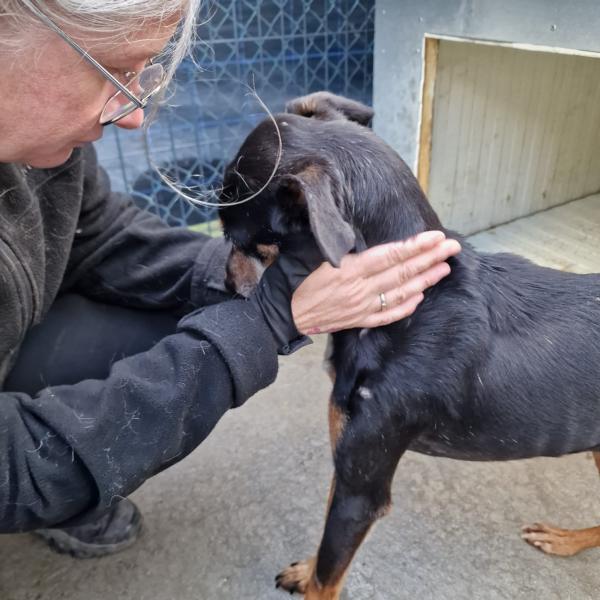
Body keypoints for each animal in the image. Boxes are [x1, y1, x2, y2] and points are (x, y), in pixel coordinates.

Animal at [218, 91, 600, 599]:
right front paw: (305, 569)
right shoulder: (347, 466)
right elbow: (323, 554)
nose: (222, 285)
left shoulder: (361, 489)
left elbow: (327, 576)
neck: (412, 306)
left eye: (234, 236)